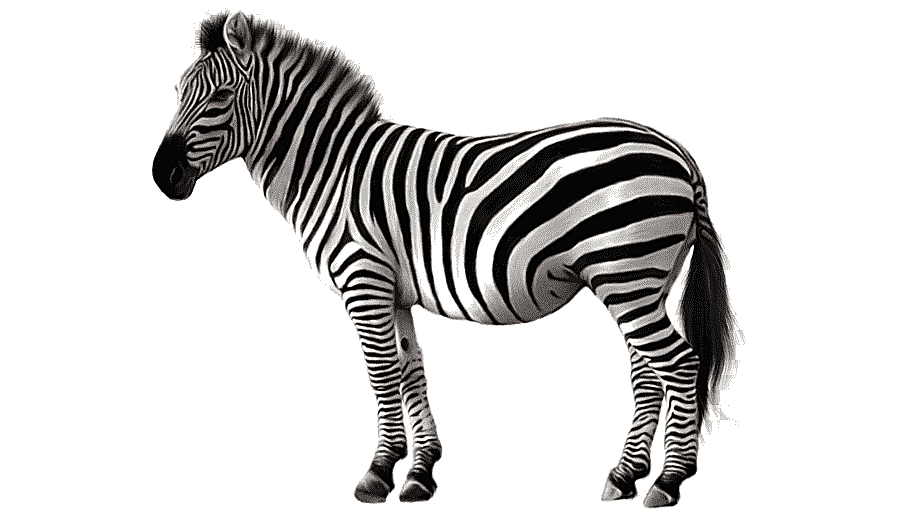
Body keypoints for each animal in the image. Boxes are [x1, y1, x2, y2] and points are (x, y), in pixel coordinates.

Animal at [152, 11, 736, 508]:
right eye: (179, 93)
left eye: (221, 95)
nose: (162, 176)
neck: (331, 167)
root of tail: (681, 155)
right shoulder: (393, 290)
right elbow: (410, 371)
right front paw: (418, 473)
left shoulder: (363, 278)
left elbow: (382, 373)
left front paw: (377, 474)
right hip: (641, 279)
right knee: (648, 372)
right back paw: (624, 475)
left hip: (626, 272)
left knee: (680, 364)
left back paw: (668, 480)